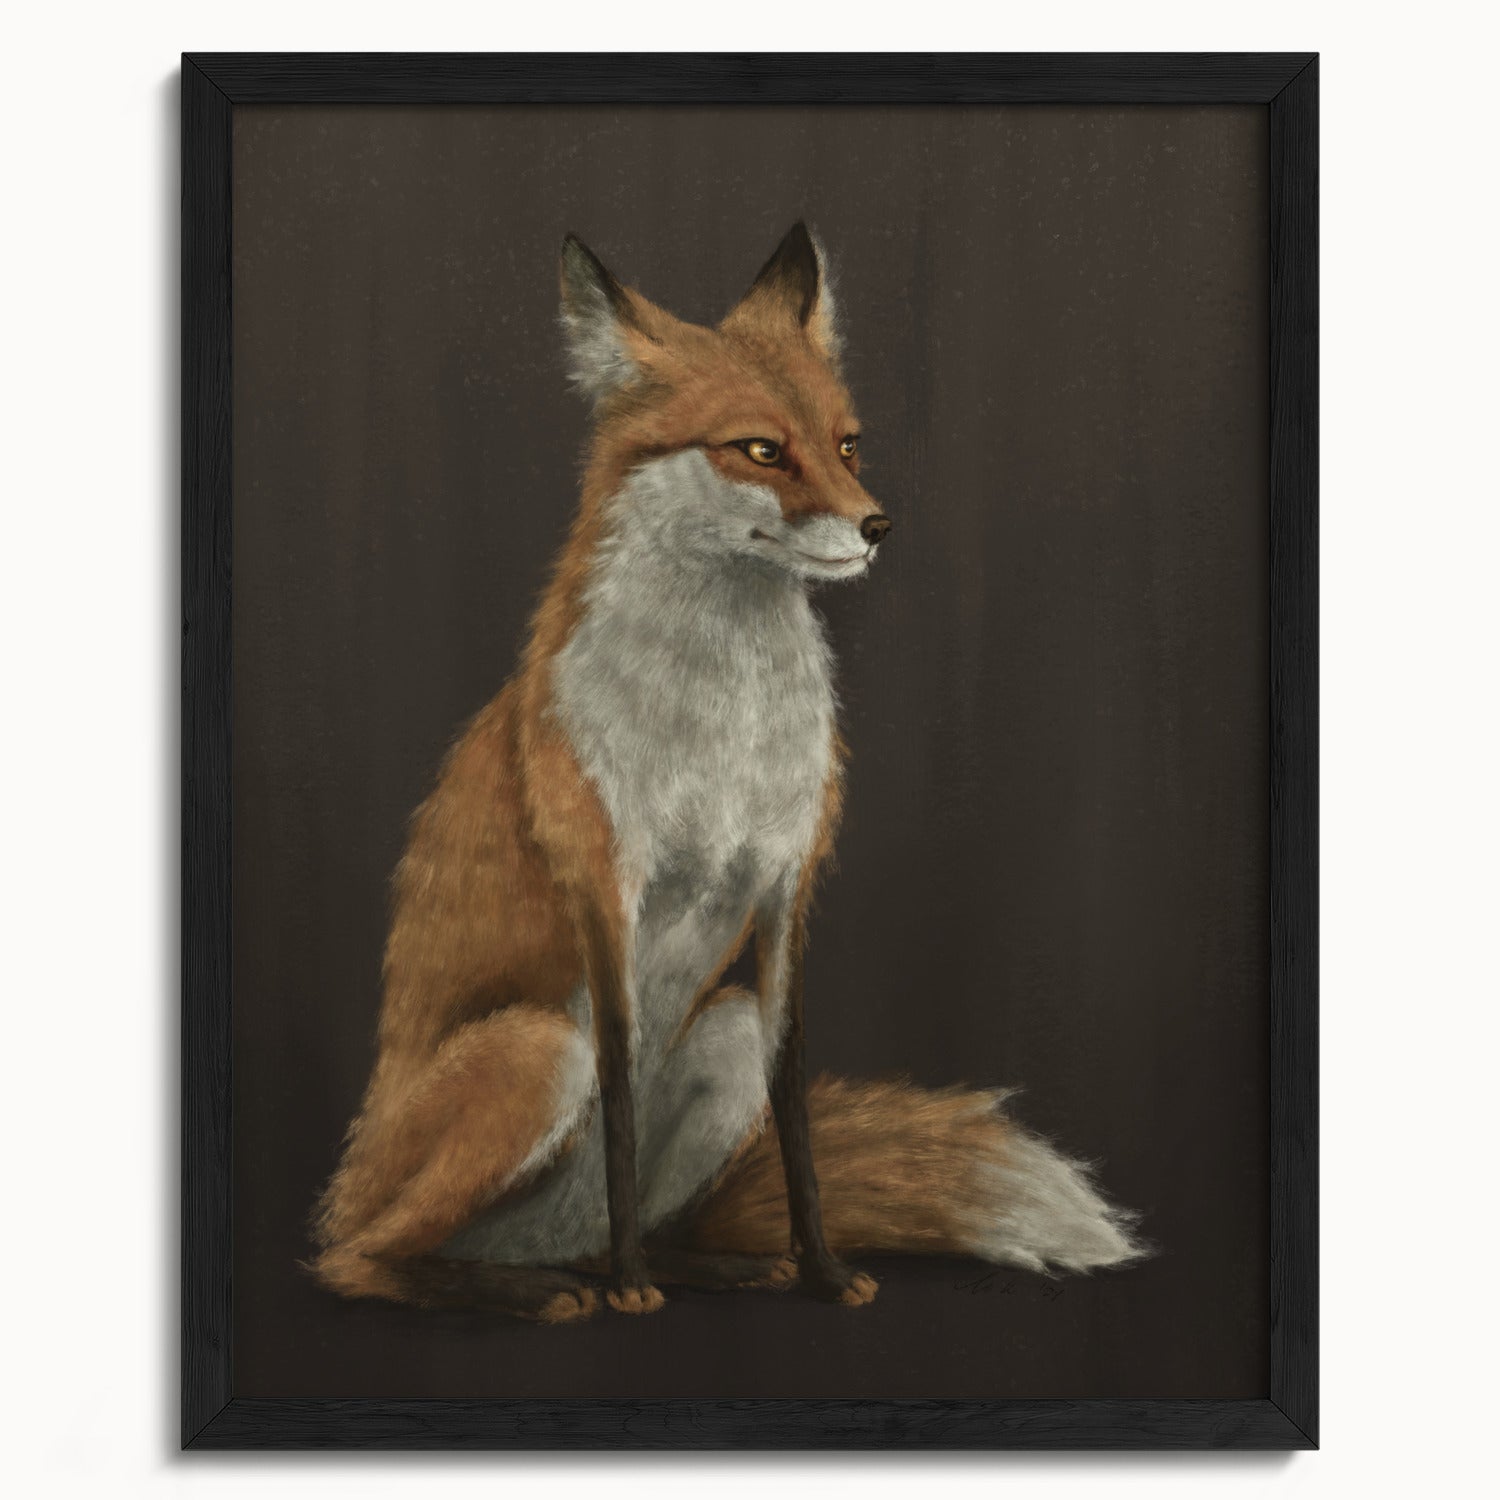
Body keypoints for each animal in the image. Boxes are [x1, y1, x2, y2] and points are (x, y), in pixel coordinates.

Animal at [310, 223, 1145, 1322]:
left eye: (847, 444)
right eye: (760, 449)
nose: (878, 526)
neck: (725, 730)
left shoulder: (787, 886)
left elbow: (795, 1113)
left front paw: (822, 1270)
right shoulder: (606, 888)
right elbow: (621, 1098)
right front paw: (634, 1290)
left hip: (723, 1033)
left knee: (594, 1228)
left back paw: (699, 1266)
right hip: (535, 1051)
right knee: (360, 1259)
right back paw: (546, 1288)